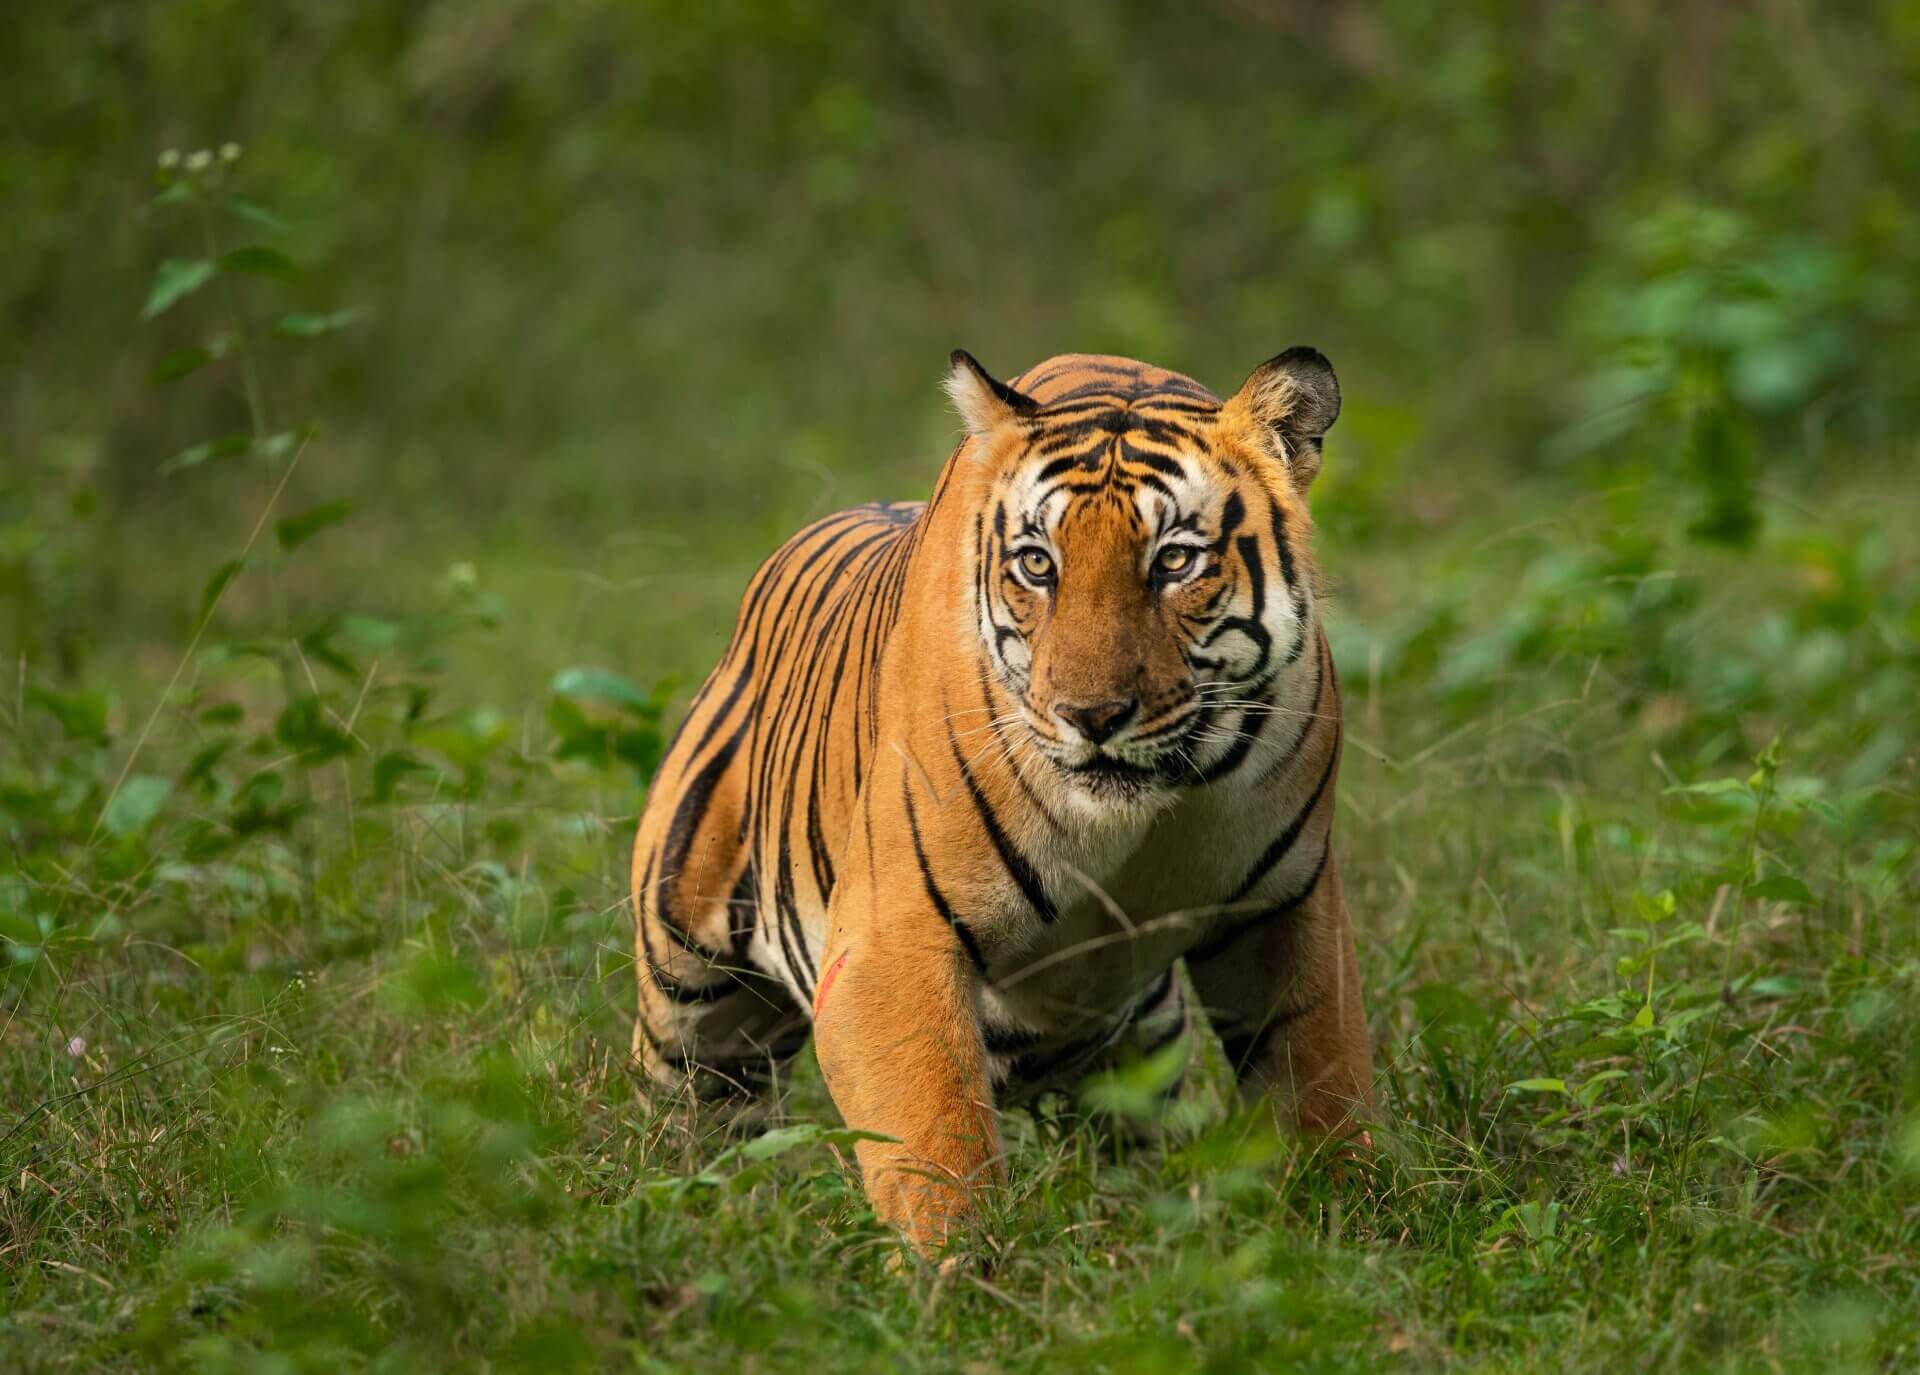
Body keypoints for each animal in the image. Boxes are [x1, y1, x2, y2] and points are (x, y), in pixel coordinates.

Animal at [637, 345, 1374, 1259]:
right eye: (1037, 564)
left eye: (1174, 562)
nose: (1091, 715)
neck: (1140, 818)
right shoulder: (893, 941)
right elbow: (936, 1142)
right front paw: (962, 1278)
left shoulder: (1287, 903)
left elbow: (1322, 1077)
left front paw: (1354, 1228)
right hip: (690, 1000)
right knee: (700, 1114)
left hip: (1141, 1040)